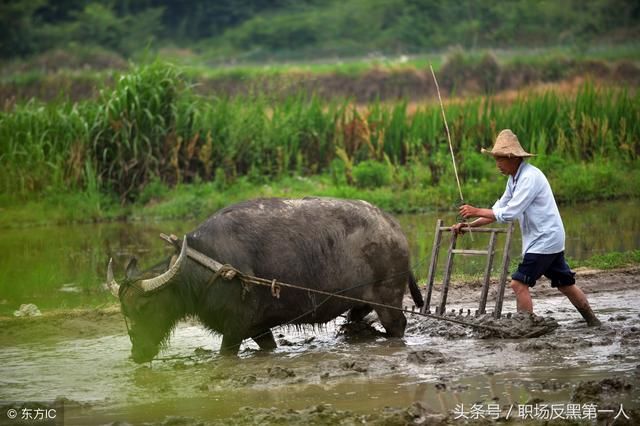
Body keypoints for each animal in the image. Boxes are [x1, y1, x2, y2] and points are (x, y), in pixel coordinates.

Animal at [107, 197, 422, 362]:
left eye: (145, 307)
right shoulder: (258, 328)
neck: (207, 268)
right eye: (125, 311)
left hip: (389, 300)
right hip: (360, 303)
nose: (138, 353)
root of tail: (394, 228)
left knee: (398, 326)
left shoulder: (234, 329)